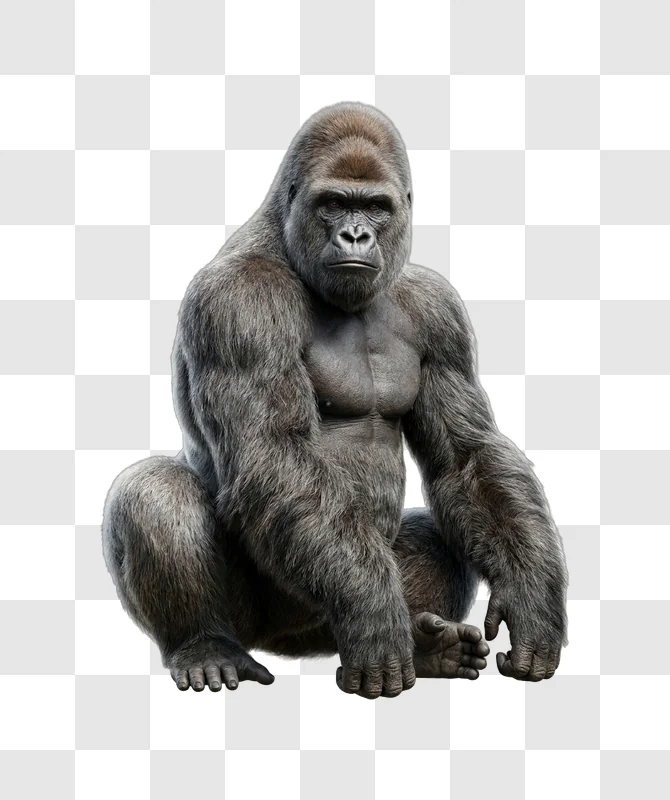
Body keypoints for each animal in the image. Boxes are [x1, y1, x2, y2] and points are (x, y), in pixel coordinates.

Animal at [102, 101, 568, 699]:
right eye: (331, 204)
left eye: (375, 207)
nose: (354, 235)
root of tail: (287, 645)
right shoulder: (240, 301)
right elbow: (273, 450)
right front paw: (371, 609)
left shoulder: (439, 308)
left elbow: (468, 457)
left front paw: (532, 596)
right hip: (259, 619)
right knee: (153, 490)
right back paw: (205, 645)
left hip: (323, 629)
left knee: (436, 543)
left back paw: (428, 648)